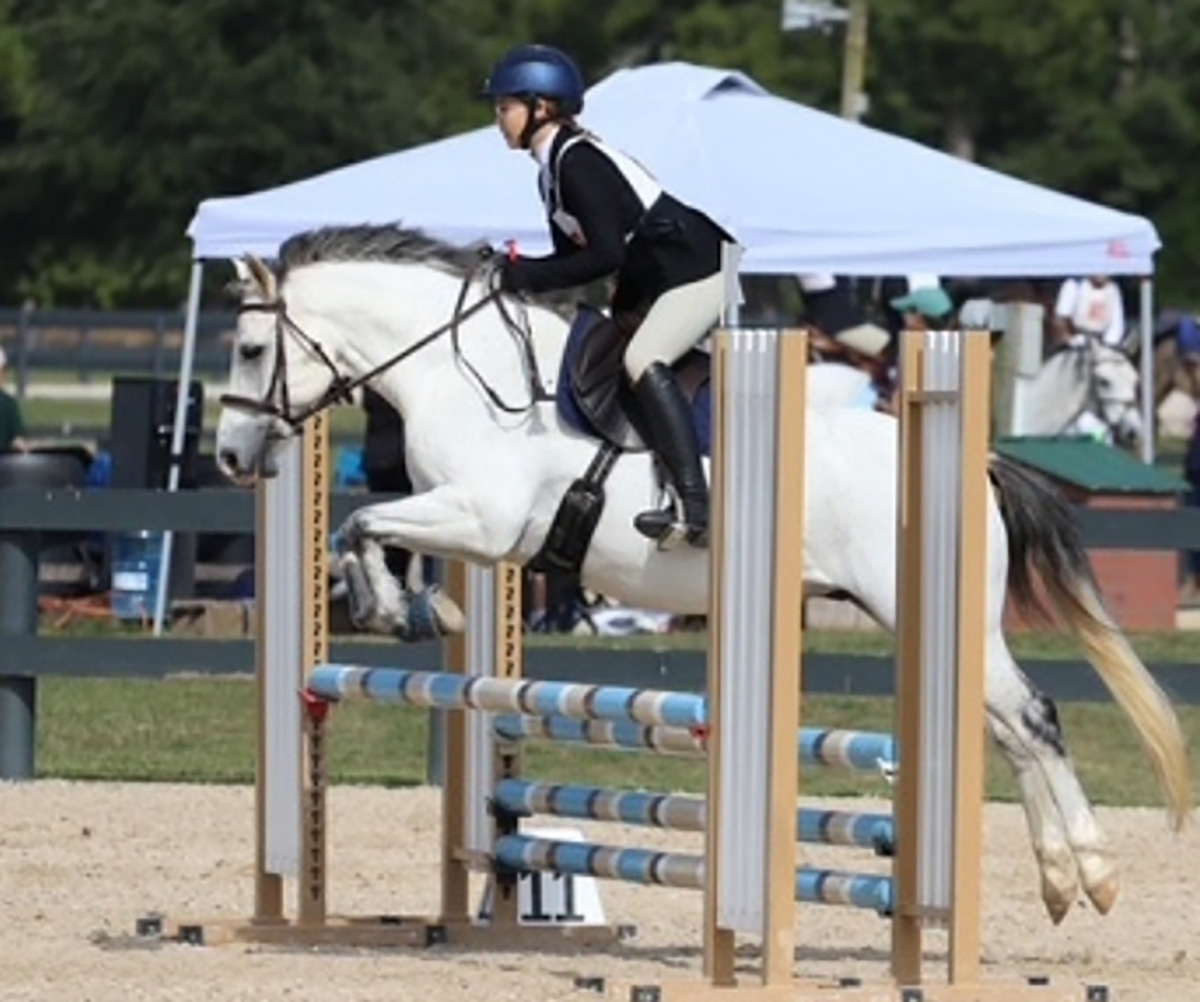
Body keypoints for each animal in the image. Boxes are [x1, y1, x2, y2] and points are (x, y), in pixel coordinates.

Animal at [214, 223, 1191, 927]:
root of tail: (974, 458)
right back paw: (1062, 882)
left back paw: (1092, 873)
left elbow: (357, 521)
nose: (229, 455)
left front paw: (399, 610)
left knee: (1033, 718)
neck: (465, 373)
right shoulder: (475, 531)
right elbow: (363, 530)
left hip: (939, 614)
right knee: (1012, 730)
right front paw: (417, 612)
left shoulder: (484, 518)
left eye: (252, 351)